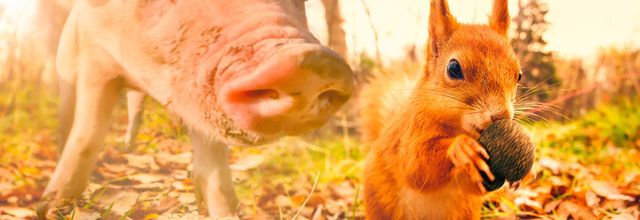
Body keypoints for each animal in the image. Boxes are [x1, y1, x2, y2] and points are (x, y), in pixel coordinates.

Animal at [42, 0, 352, 217]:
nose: (311, 61)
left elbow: (213, 163)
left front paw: (225, 213)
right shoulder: (95, 59)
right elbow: (87, 136)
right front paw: (51, 208)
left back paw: (129, 146)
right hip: (64, 69)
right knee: (70, 116)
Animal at [360, 0, 520, 218]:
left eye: (519, 74)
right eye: (453, 68)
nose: (501, 115)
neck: (460, 128)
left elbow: (475, 188)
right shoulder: (410, 133)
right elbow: (416, 165)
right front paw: (461, 148)